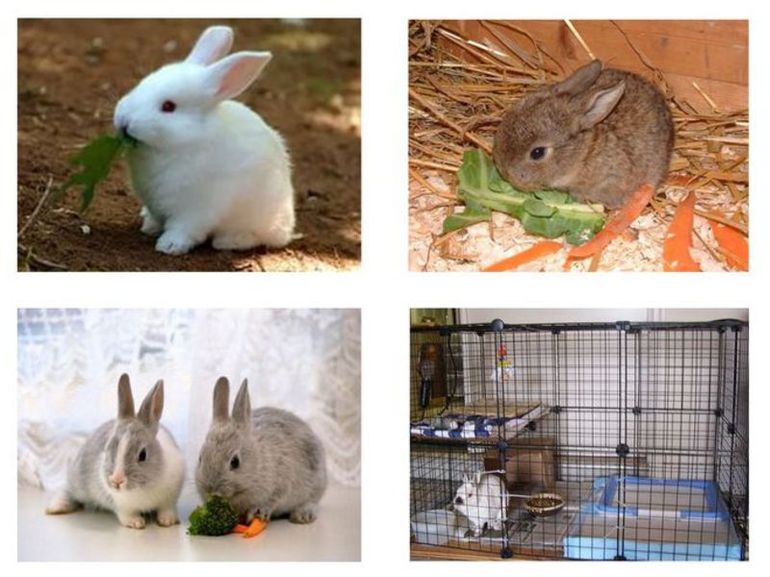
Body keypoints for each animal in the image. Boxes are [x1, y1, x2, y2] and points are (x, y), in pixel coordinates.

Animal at [45, 374, 185, 529]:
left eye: (143, 455)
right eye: (107, 449)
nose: (117, 481)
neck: (145, 487)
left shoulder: (169, 499)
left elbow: (166, 509)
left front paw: (168, 521)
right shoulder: (122, 505)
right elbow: (127, 515)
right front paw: (136, 523)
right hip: (77, 482)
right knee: (67, 491)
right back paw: (55, 507)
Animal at [113, 25, 295, 255]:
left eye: (169, 106)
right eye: (141, 84)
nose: (123, 120)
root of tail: (288, 226)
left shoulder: (197, 210)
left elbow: (184, 229)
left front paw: (169, 246)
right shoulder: (155, 202)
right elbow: (156, 218)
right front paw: (149, 228)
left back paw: (229, 241)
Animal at [195, 377, 327, 524]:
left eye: (235, 462)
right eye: (200, 458)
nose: (213, 491)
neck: (258, 463)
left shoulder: (281, 483)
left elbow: (272, 500)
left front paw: (257, 513)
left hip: (316, 482)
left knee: (312, 501)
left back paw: (302, 516)